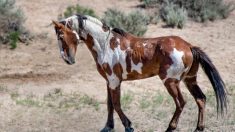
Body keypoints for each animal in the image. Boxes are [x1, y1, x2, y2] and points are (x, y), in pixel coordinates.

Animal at [52, 14, 227, 132]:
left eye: (61, 36)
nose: (67, 60)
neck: (106, 45)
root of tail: (189, 46)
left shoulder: (114, 81)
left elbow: (116, 105)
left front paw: (129, 126)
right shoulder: (109, 81)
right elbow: (110, 105)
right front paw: (108, 127)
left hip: (170, 82)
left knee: (181, 103)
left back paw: (170, 128)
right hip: (189, 80)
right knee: (201, 99)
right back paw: (199, 128)